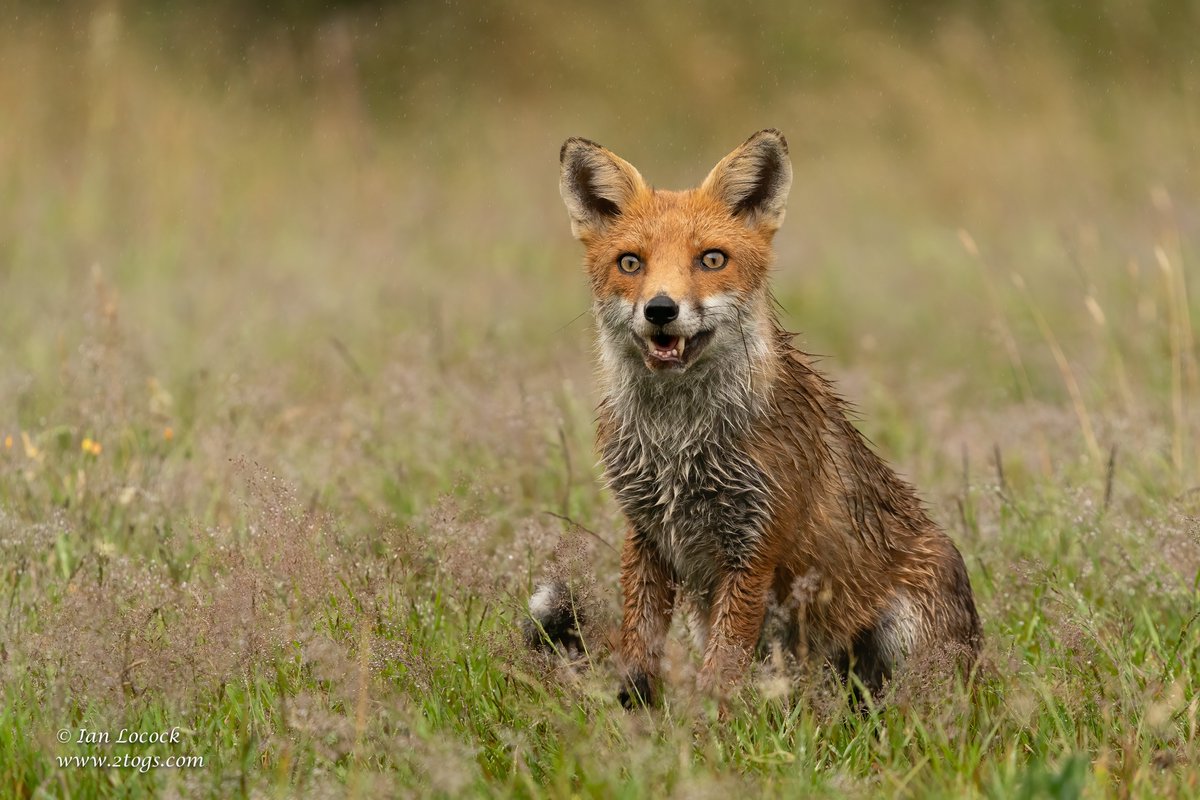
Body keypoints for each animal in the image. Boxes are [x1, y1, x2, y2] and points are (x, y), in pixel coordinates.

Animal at [527, 129, 982, 708]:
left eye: (711, 259)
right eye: (630, 263)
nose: (661, 310)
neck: (676, 440)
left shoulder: (753, 545)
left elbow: (721, 673)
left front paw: (706, 728)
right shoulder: (646, 534)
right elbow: (638, 652)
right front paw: (634, 721)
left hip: (904, 641)